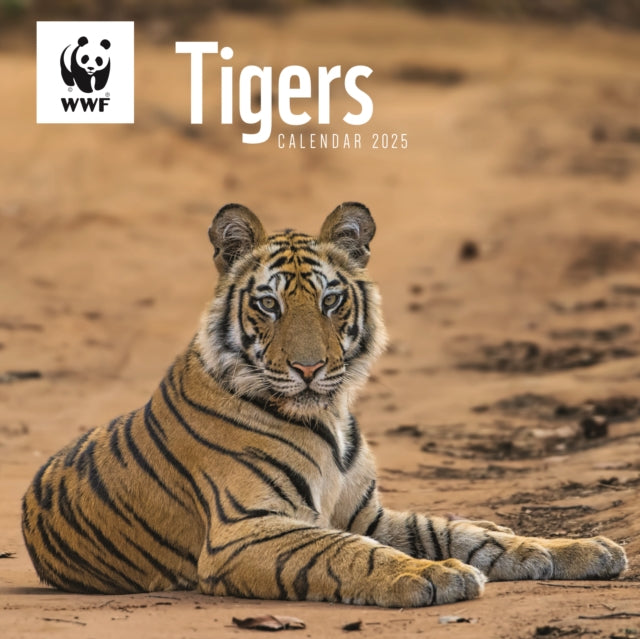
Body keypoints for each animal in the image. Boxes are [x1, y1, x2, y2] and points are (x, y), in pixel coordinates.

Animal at [22, 202, 627, 607]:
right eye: (268, 304)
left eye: (331, 300)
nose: (309, 369)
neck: (327, 417)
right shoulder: (247, 529)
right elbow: (344, 551)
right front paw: (430, 576)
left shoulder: (367, 513)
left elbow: (460, 534)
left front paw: (581, 550)